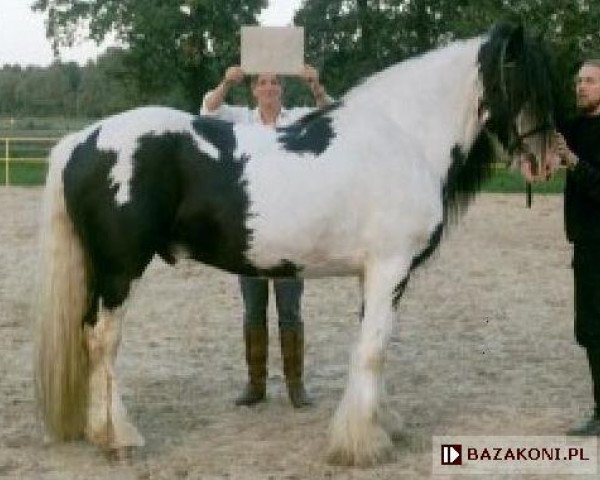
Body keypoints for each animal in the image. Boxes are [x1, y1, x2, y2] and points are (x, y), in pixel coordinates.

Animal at [34, 23, 556, 464]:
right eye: (521, 79)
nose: (547, 160)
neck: (404, 138)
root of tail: (83, 140)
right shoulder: (390, 267)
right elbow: (373, 350)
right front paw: (361, 445)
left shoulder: (377, 274)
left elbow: (374, 345)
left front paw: (381, 424)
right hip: (120, 271)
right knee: (102, 340)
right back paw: (118, 438)